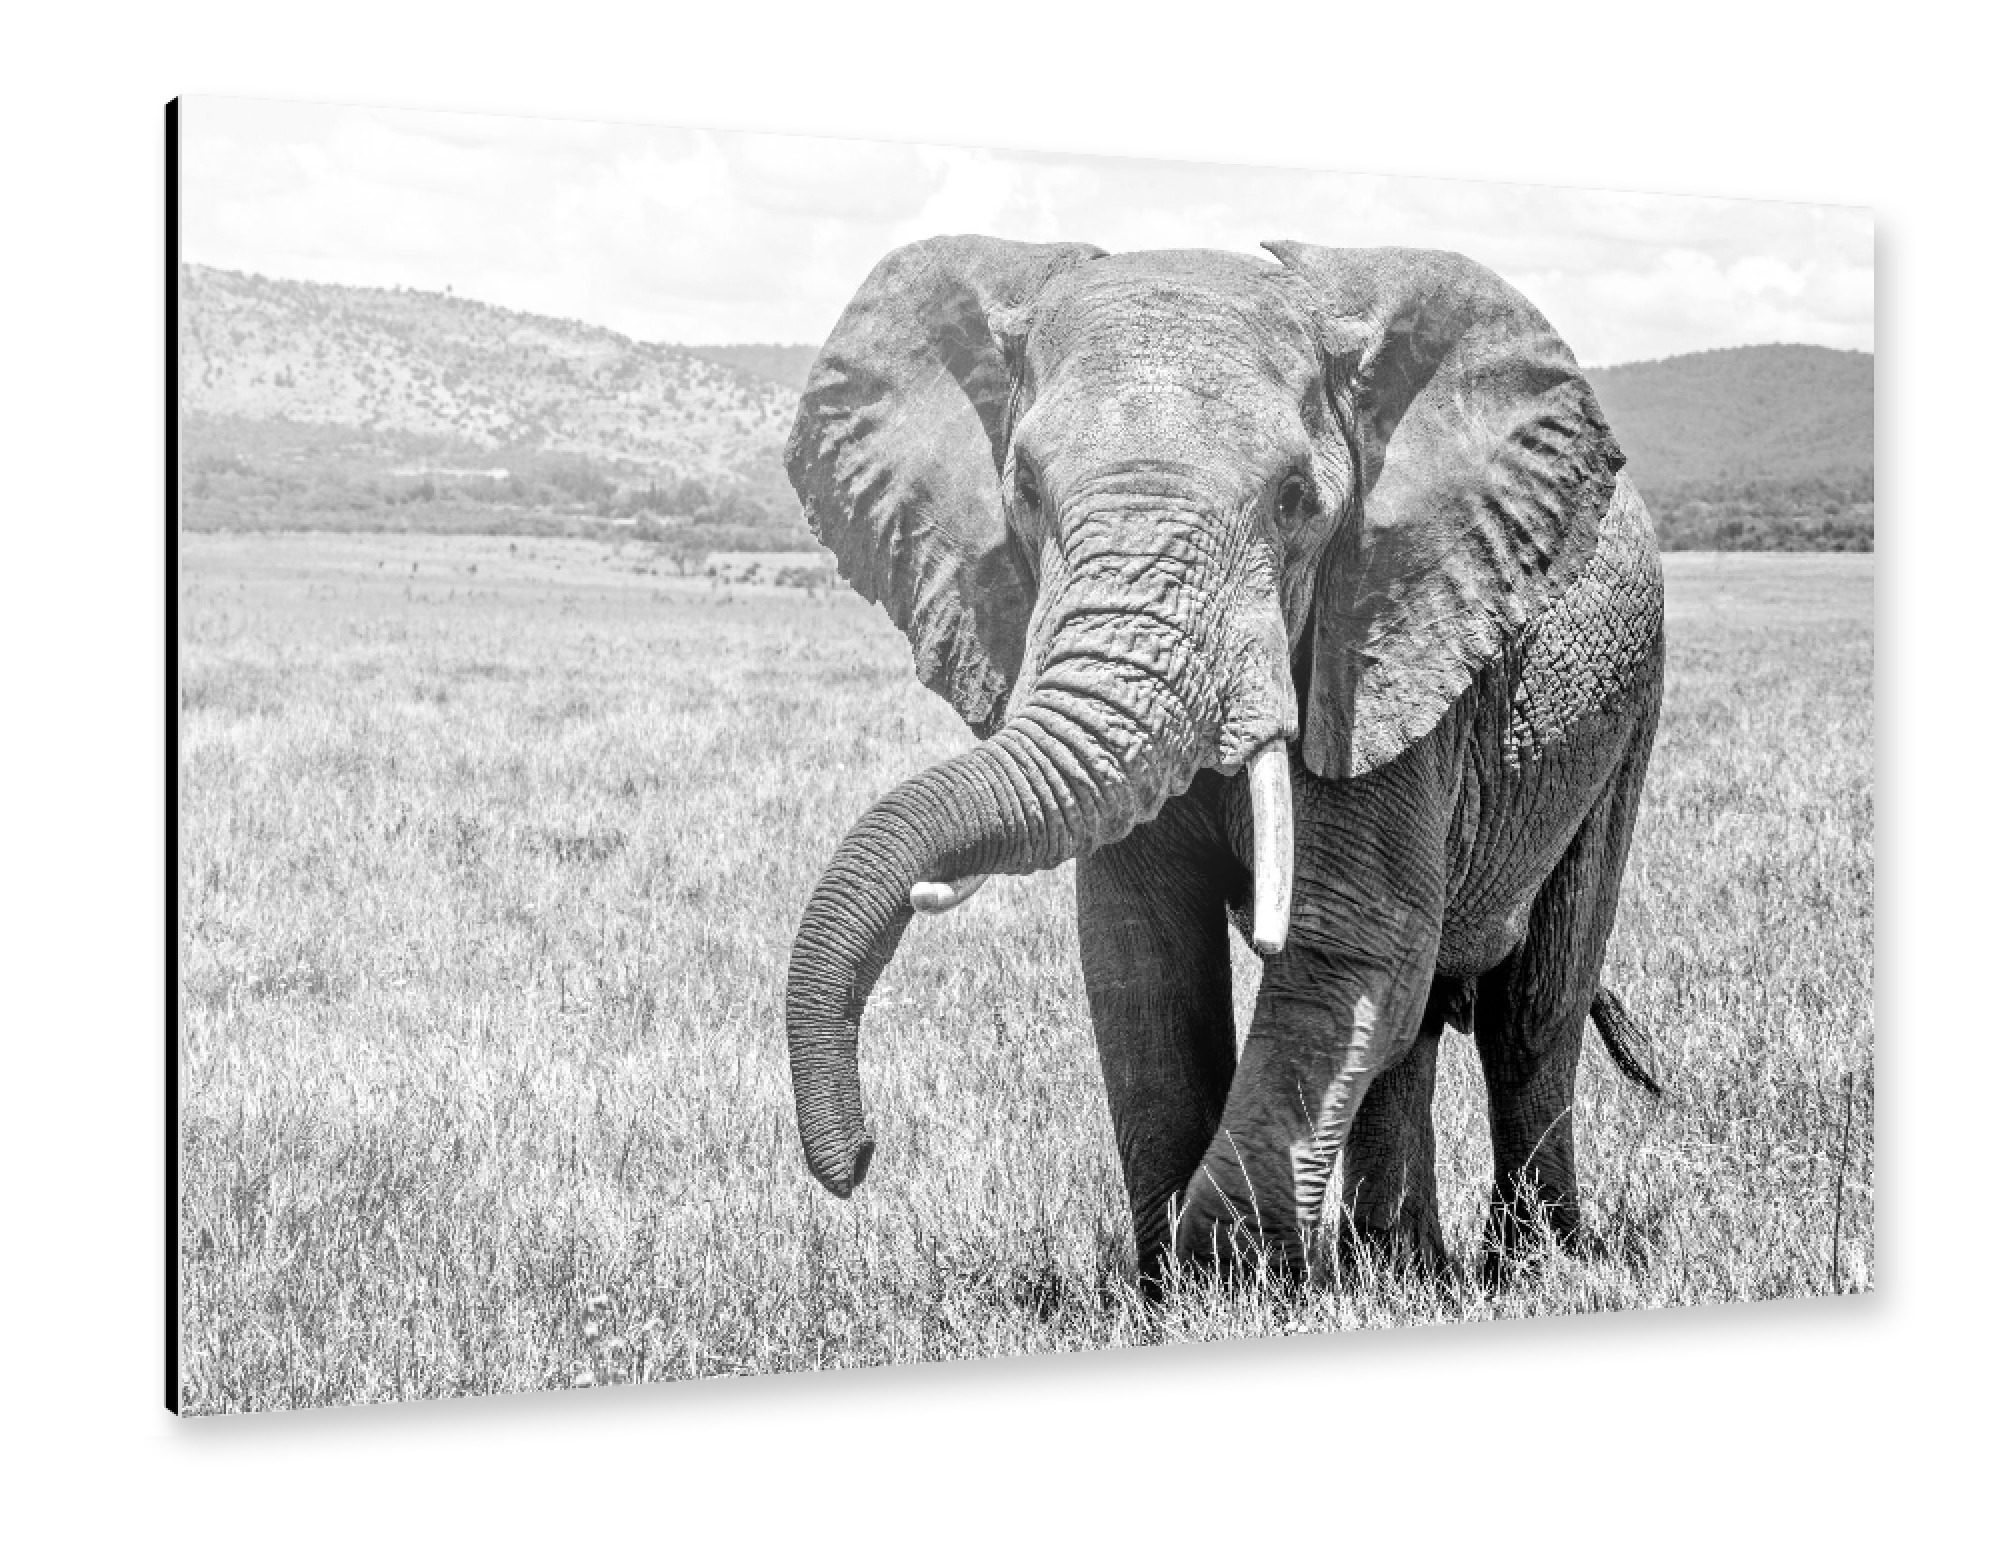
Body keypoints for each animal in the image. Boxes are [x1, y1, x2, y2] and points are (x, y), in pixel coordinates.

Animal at [780, 235, 1665, 1287]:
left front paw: (1232, 1276)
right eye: (1024, 490)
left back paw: (1535, 1266)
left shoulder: (1382, 650)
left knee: (1532, 1006)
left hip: (1625, 715)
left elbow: (1348, 939)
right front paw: (1177, 1289)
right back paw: (1402, 1270)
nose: (857, 1161)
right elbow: (1143, 950)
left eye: (1294, 502)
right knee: (1414, 1024)